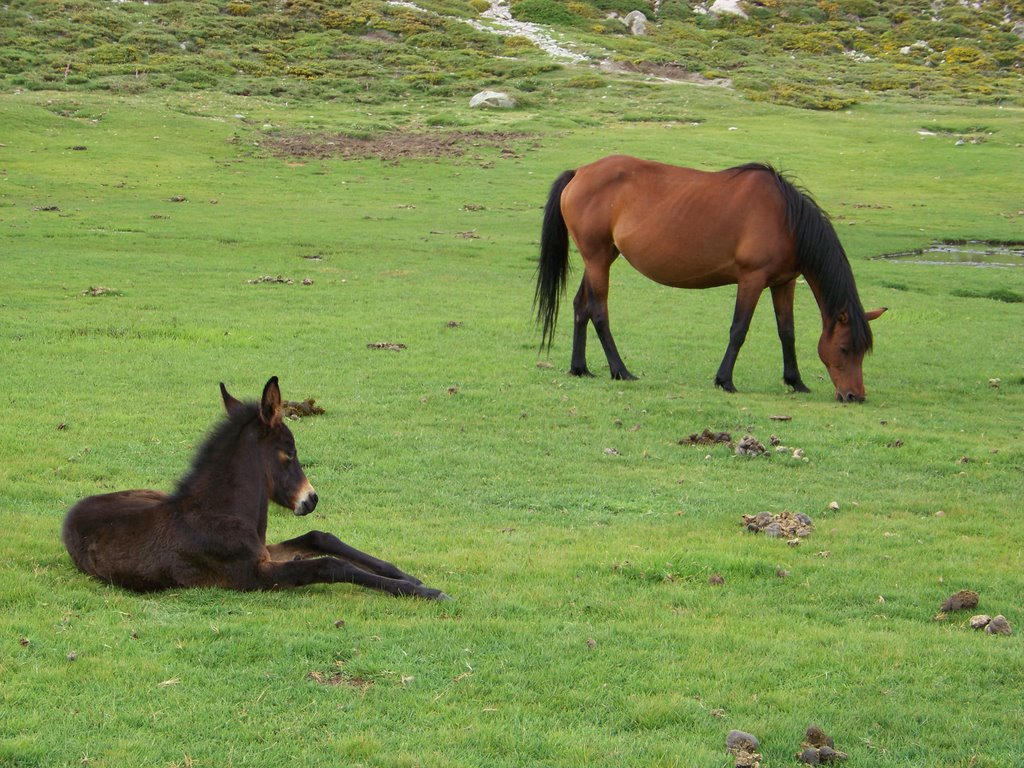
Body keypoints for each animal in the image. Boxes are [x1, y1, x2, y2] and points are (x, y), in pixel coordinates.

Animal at [62, 378, 448, 602]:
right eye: (289, 451)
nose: (311, 499)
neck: (220, 515)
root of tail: (71, 512)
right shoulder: (255, 574)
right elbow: (328, 565)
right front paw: (426, 591)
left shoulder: (266, 551)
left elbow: (320, 537)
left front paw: (408, 576)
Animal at [536, 153, 888, 399]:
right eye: (845, 349)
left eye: (862, 351)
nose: (854, 396)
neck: (786, 218)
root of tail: (579, 172)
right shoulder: (752, 280)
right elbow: (739, 329)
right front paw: (725, 380)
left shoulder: (783, 283)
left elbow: (786, 332)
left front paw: (796, 381)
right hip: (597, 260)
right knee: (598, 313)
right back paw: (621, 370)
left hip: (601, 258)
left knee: (581, 307)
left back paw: (580, 368)